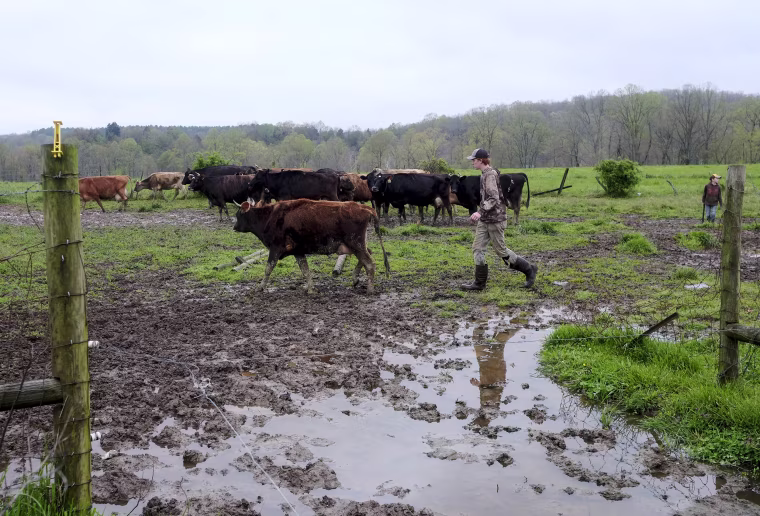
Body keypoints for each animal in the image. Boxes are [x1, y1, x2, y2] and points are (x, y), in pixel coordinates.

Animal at [233, 199, 390, 294]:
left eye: (239, 214)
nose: (234, 227)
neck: (270, 217)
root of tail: (366, 208)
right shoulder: (297, 251)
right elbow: (305, 270)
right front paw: (310, 288)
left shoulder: (275, 248)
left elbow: (268, 269)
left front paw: (260, 287)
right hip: (358, 245)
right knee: (367, 256)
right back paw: (355, 279)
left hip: (356, 244)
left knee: (369, 263)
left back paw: (369, 289)